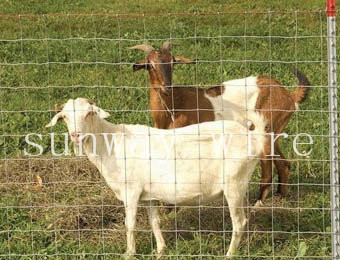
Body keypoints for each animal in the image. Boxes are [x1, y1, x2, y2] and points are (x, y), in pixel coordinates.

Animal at [45, 98, 268, 258]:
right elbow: (154, 222)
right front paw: (161, 250)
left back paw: (229, 254)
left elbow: (129, 223)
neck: (110, 142)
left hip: (233, 184)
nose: (76, 135)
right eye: (65, 117)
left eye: (89, 113)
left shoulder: (131, 190)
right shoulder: (149, 195)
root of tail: (254, 138)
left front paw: (129, 253)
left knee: (239, 222)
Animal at [130, 42, 310, 205]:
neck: (173, 107)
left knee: (267, 168)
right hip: (275, 132)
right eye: (150, 65)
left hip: (266, 130)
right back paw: (280, 196)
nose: (166, 86)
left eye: (172, 62)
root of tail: (289, 95)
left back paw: (258, 203)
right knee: (284, 164)